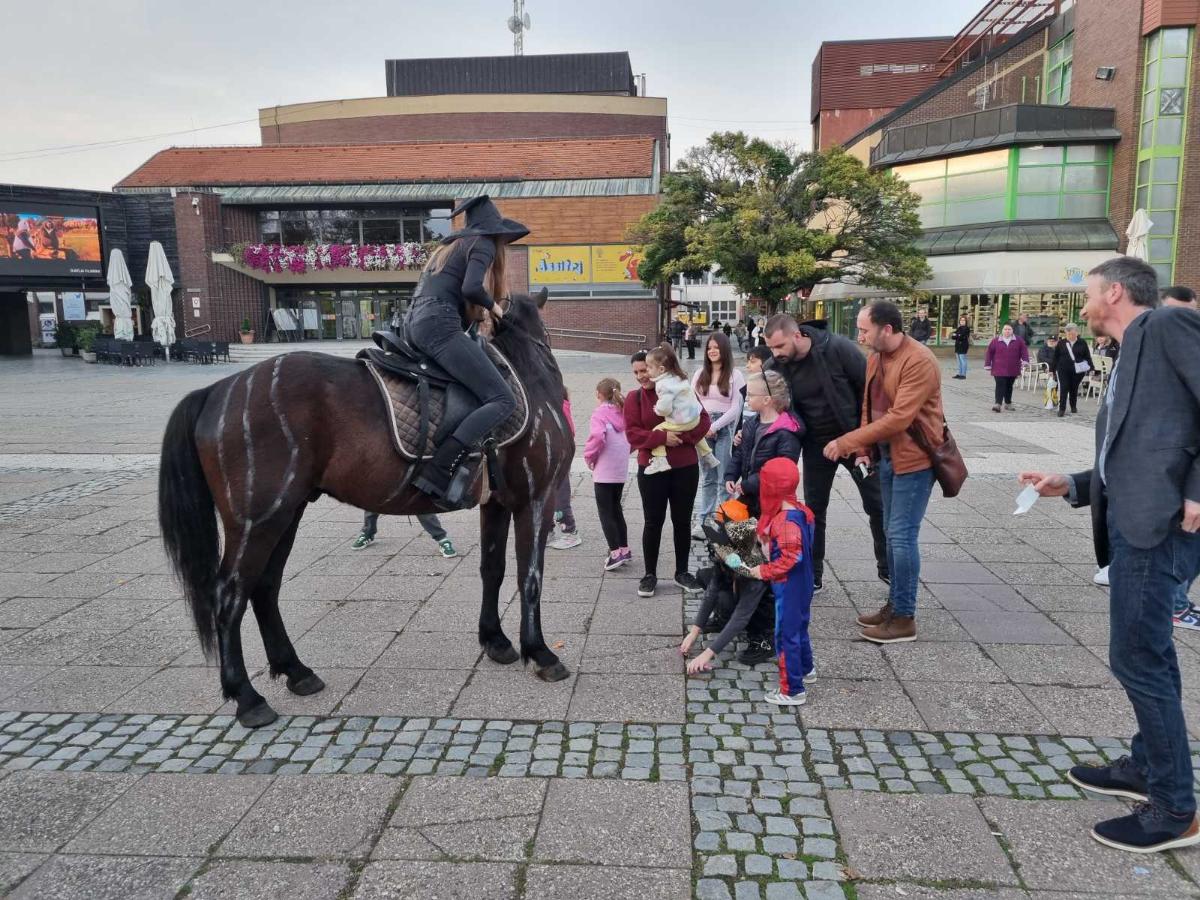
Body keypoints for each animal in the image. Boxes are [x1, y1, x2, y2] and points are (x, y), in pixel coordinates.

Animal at [157, 290, 573, 728]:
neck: (526, 371)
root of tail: (216, 390)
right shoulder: (537, 497)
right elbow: (530, 577)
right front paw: (540, 652)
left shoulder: (496, 504)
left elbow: (492, 570)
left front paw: (495, 640)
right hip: (258, 521)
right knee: (229, 595)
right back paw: (247, 697)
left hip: (285, 515)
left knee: (265, 588)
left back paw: (296, 671)